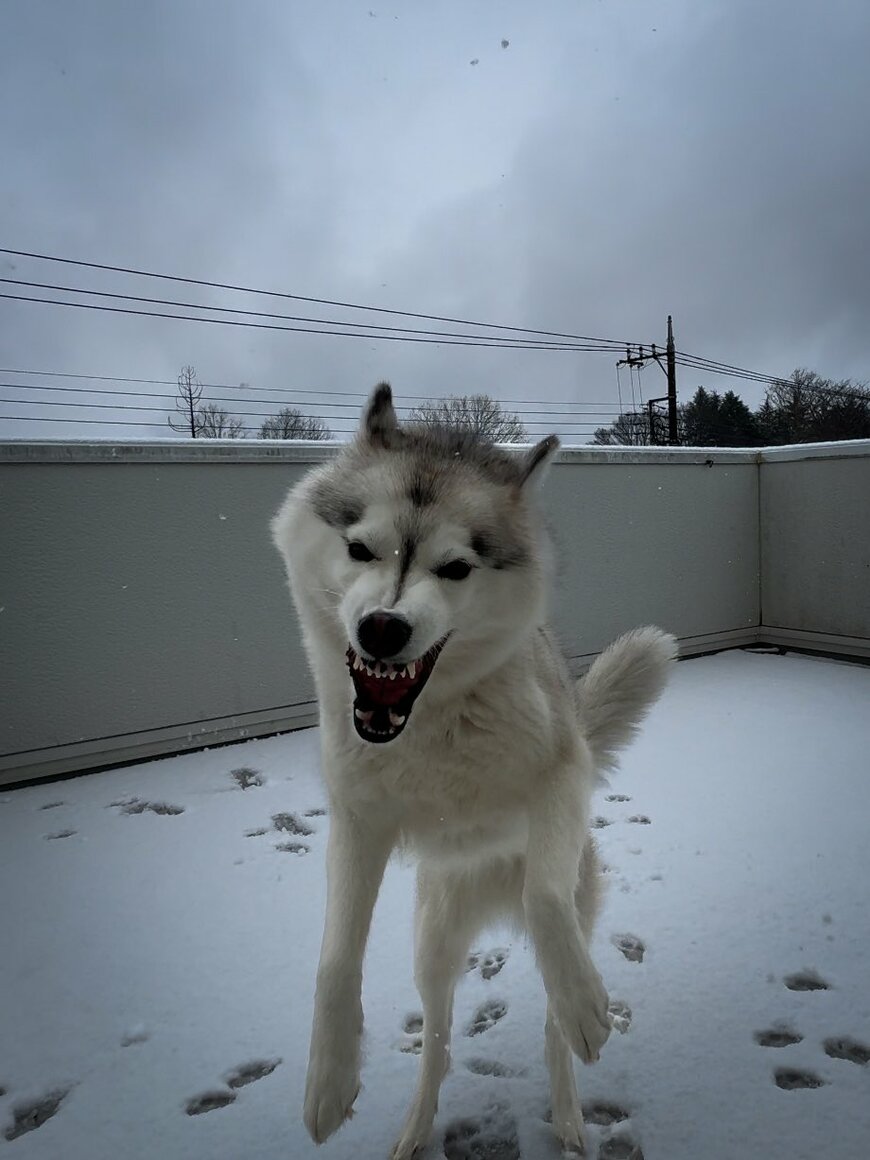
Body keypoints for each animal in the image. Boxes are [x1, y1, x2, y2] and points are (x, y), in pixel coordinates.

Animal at [272, 385, 682, 1155]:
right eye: (359, 549)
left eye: (455, 568)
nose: (382, 628)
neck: (431, 721)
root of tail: (490, 904)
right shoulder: (356, 823)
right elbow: (335, 962)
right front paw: (328, 1082)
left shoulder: (563, 774)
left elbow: (545, 901)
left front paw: (587, 1005)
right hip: (433, 946)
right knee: (437, 1040)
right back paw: (414, 1127)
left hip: (571, 903)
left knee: (552, 1027)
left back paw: (570, 1108)